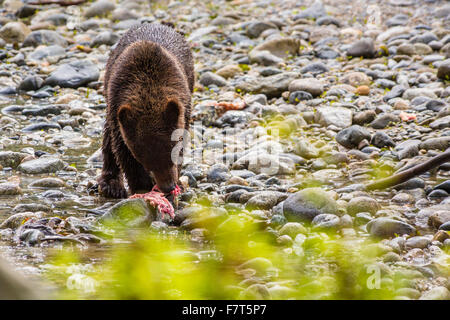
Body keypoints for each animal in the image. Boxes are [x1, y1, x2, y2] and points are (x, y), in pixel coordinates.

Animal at [97, 23, 194, 198]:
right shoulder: (117, 108)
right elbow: (123, 151)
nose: (169, 186)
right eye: (148, 163)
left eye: (171, 155)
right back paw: (111, 185)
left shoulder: (184, 107)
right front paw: (142, 186)